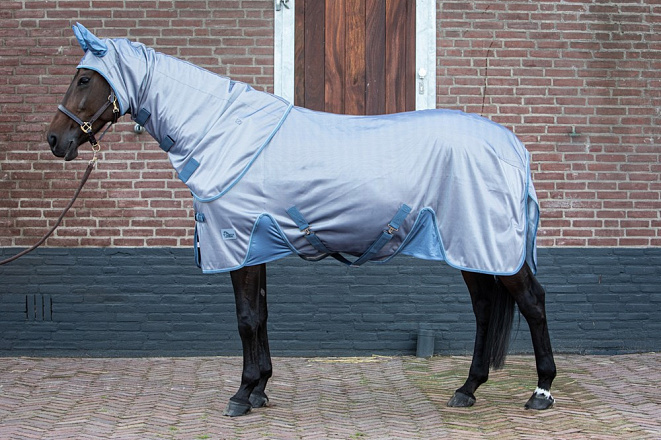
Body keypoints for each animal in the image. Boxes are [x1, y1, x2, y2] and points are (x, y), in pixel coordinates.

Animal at [46, 24, 556, 417]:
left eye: (85, 79)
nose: (55, 139)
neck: (222, 132)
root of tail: (513, 146)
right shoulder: (257, 247)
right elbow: (261, 316)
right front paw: (261, 388)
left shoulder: (238, 242)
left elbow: (246, 319)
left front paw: (241, 394)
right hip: (472, 248)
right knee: (485, 310)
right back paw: (467, 389)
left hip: (489, 246)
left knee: (532, 303)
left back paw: (541, 391)